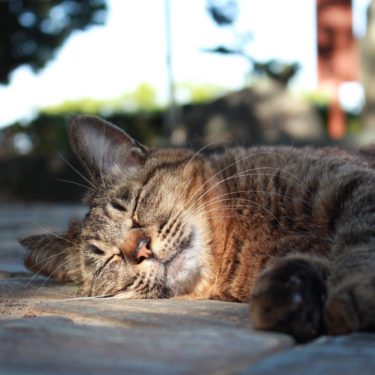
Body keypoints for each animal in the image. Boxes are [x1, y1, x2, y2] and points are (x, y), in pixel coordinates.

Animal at [20, 116, 375, 342]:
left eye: (133, 209)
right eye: (109, 258)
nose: (140, 248)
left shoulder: (356, 187)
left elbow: (360, 242)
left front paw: (354, 289)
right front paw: (291, 295)